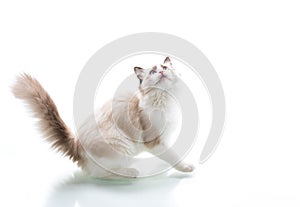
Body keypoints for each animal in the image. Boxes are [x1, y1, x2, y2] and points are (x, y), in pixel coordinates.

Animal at [11, 56, 195, 178]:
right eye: (153, 71)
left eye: (165, 67)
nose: (162, 71)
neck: (166, 99)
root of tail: (76, 145)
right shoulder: (154, 141)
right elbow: (173, 156)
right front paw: (185, 167)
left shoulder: (165, 138)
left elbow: (170, 153)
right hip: (123, 147)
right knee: (103, 174)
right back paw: (130, 172)